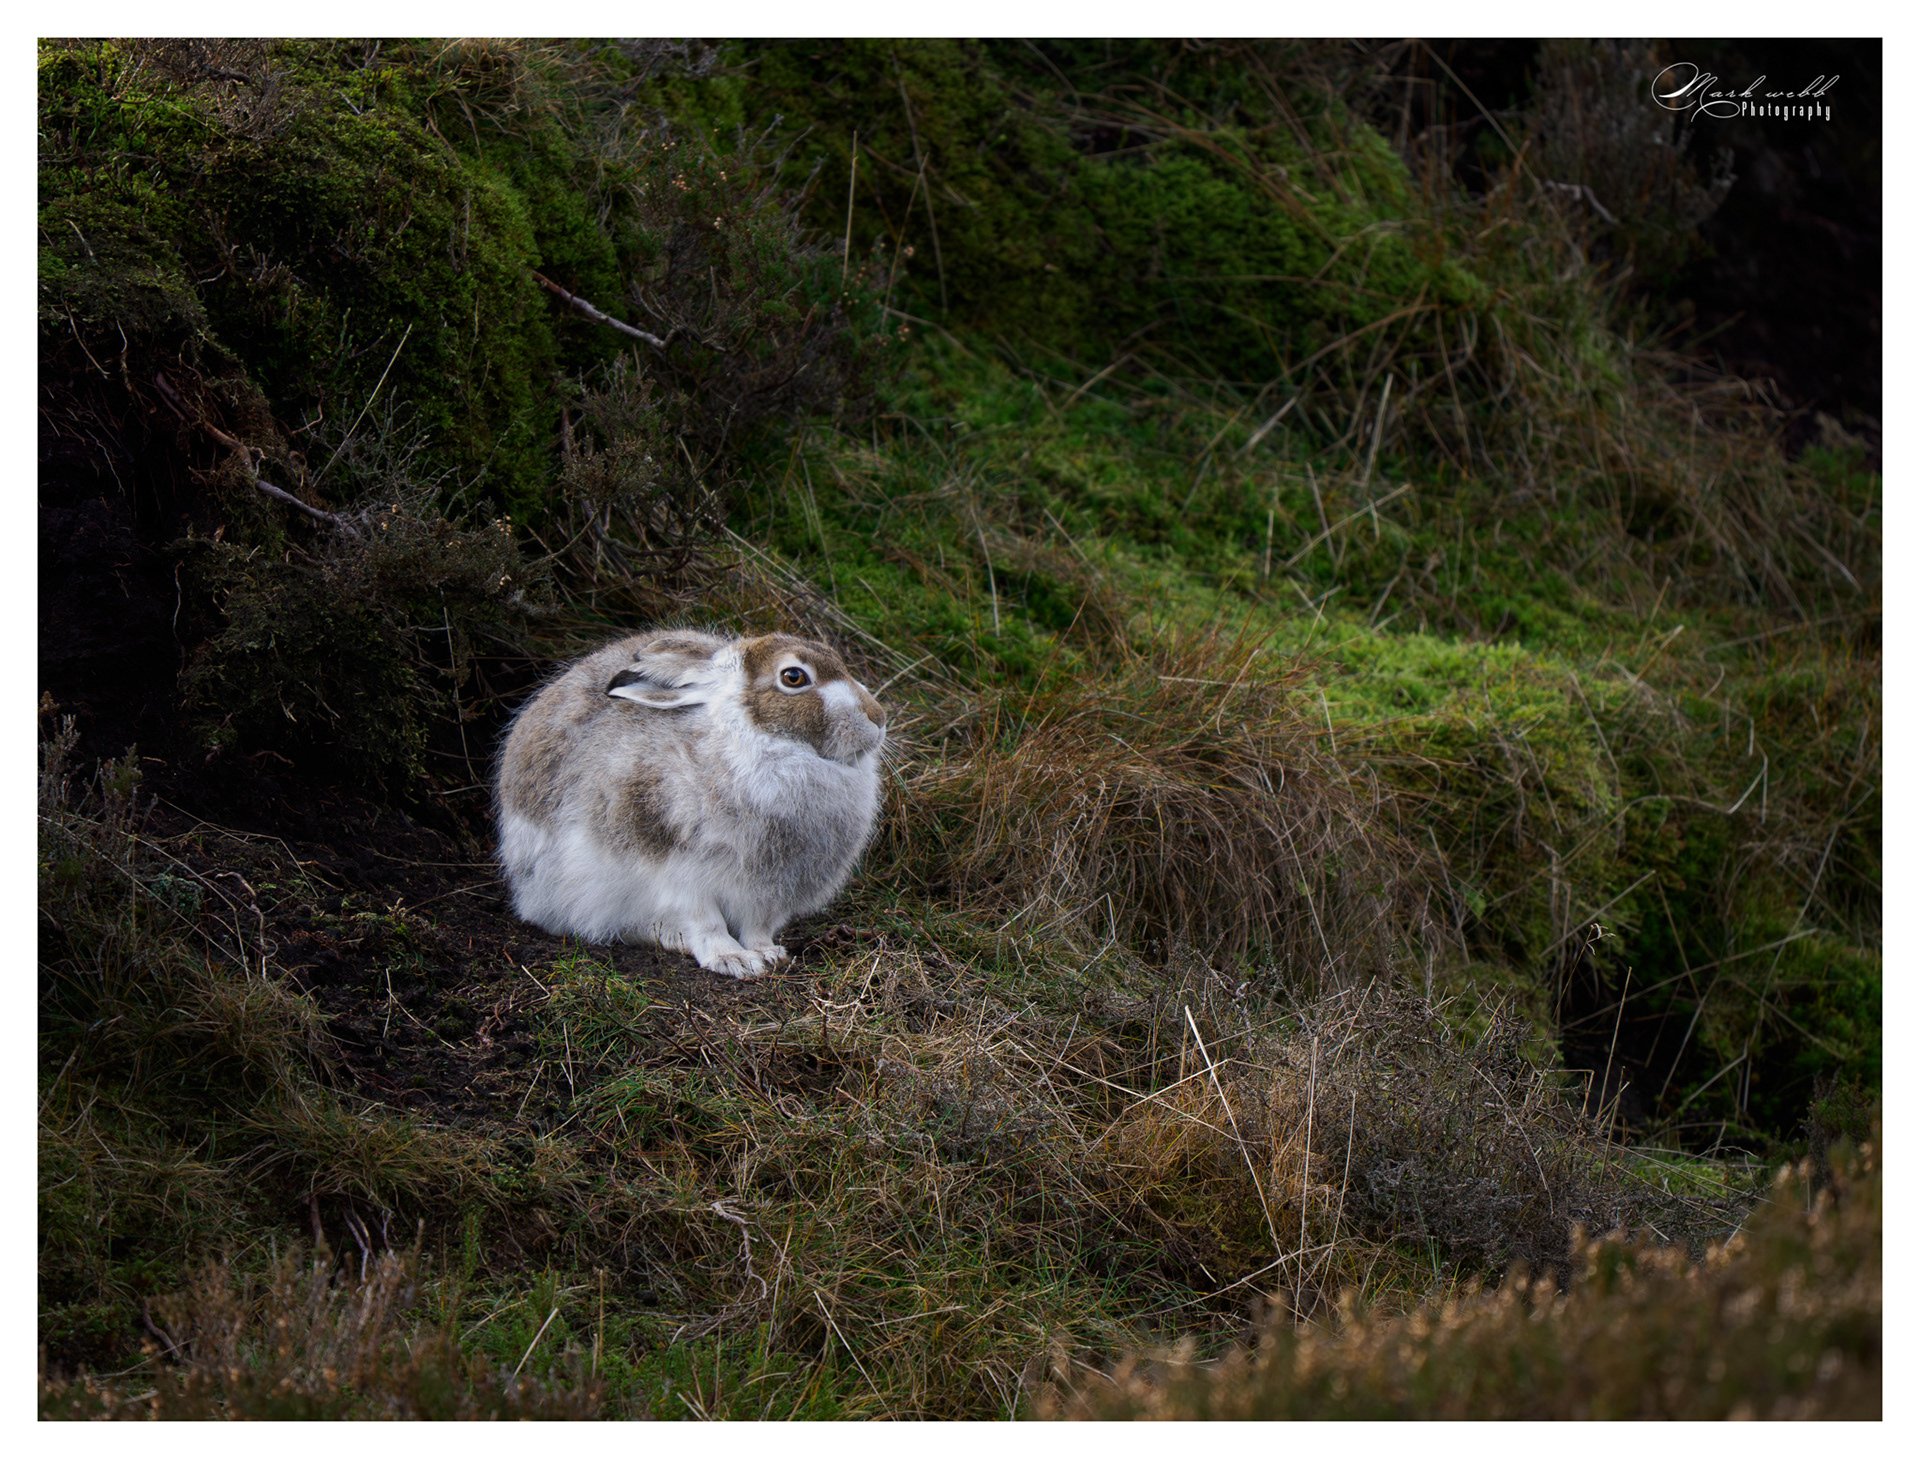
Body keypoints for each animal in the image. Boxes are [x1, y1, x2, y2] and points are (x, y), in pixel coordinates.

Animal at [494, 628, 887, 979]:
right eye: (794, 677)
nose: (877, 717)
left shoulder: (766, 893)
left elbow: (757, 926)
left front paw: (767, 954)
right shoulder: (676, 872)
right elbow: (705, 920)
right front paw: (733, 960)